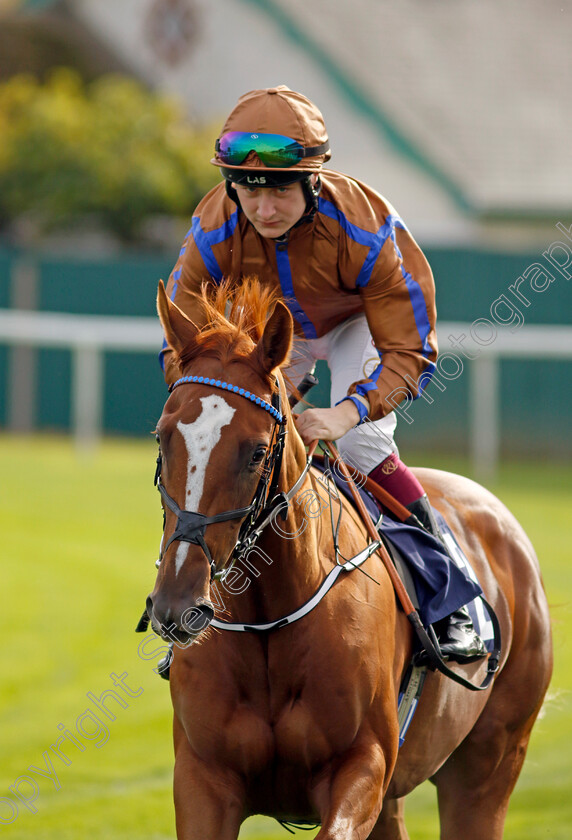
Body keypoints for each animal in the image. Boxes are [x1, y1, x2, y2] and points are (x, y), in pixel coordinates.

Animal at [146, 278, 556, 836]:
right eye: (163, 438)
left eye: (256, 452)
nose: (177, 605)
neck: (270, 620)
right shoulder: (202, 776)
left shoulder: (363, 765)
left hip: (490, 761)